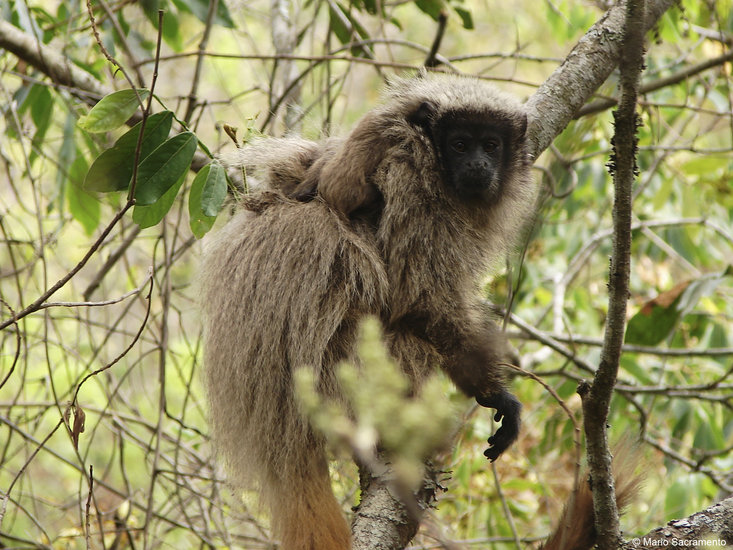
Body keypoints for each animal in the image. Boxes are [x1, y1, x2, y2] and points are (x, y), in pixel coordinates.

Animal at [199, 73, 532, 550]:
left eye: (491, 145)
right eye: (459, 144)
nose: (478, 166)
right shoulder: (414, 184)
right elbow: (420, 299)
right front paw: (494, 393)